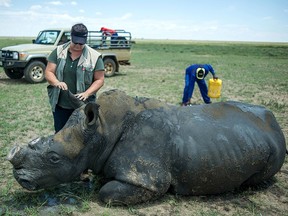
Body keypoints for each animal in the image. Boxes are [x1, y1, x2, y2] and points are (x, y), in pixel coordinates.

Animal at [7, 89, 288, 204]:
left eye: (54, 158)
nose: (19, 177)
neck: (101, 131)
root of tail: (274, 121)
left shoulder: (149, 179)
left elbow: (106, 193)